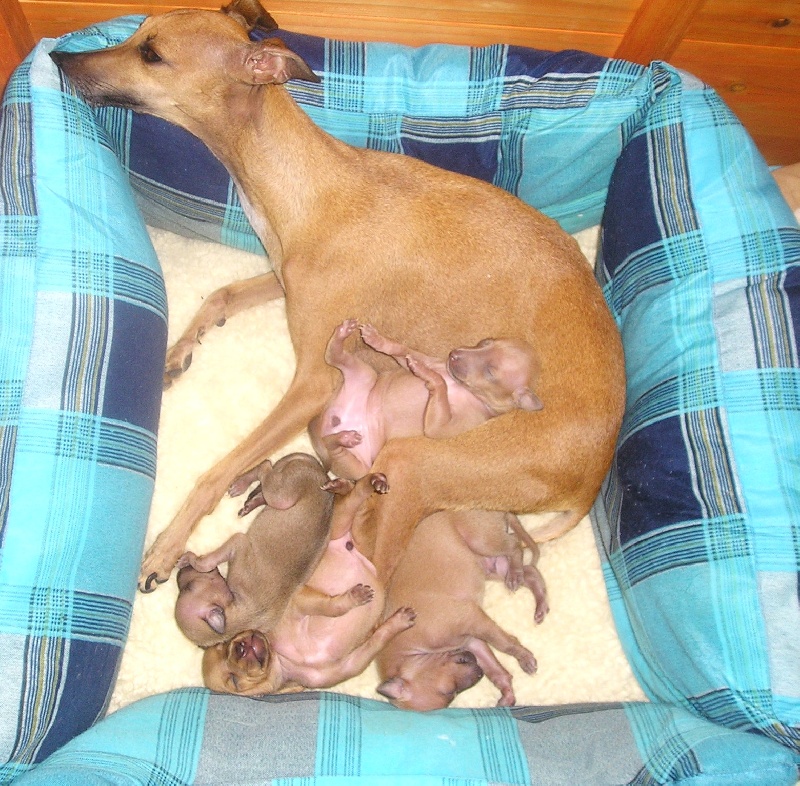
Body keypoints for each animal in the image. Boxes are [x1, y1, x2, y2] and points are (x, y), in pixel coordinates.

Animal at [174, 452, 333, 647]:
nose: (179, 574)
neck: (241, 618)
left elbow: (205, 563)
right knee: (265, 477)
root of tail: (320, 472)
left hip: (280, 495)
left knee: (265, 467)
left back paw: (243, 483)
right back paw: (249, 500)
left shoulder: (238, 543)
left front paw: (190, 558)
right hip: (280, 493)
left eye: (187, 588)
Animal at [201, 473, 417, 695]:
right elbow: (378, 637)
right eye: (233, 681)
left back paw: (356, 484)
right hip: (351, 532)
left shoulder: (299, 602)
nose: (241, 648)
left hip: (335, 526)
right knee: (355, 503)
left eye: (225, 645)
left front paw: (354, 599)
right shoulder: (351, 663)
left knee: (354, 496)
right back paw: (355, 485)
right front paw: (398, 621)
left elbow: (329, 606)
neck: (283, 659)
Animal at [309, 319, 543, 479]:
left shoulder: (445, 427)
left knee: (335, 449)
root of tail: (326, 422)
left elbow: (437, 384)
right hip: (364, 375)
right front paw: (379, 341)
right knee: (334, 357)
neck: (461, 388)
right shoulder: (427, 361)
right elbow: (405, 351)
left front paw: (426, 375)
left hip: (359, 467)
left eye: (490, 372)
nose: (453, 354)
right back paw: (340, 338)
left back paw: (343, 439)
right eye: (485, 342)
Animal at [375, 509, 548, 711]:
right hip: (492, 567)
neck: (411, 649)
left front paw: (524, 658)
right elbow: (496, 671)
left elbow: (505, 644)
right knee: (531, 572)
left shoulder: (472, 619)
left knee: (514, 545)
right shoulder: (472, 641)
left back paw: (515, 574)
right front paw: (507, 692)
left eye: (449, 692)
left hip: (481, 540)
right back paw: (539, 602)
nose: (479, 673)